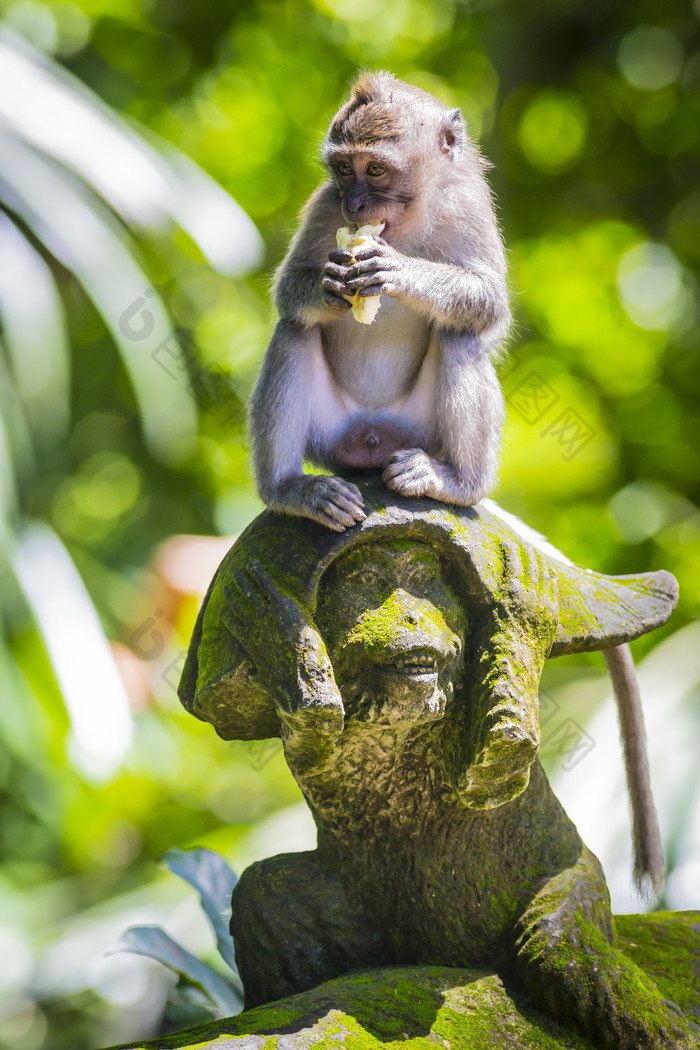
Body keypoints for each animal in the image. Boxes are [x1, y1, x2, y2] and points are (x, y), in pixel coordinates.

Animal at [248, 71, 512, 533]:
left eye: (375, 169)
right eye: (342, 168)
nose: (354, 204)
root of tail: (373, 437)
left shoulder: (468, 205)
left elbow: (491, 303)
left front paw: (400, 272)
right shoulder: (325, 204)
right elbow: (288, 290)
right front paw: (328, 286)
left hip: (419, 431)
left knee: (459, 332)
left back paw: (458, 482)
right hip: (331, 431)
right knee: (295, 328)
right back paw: (290, 490)